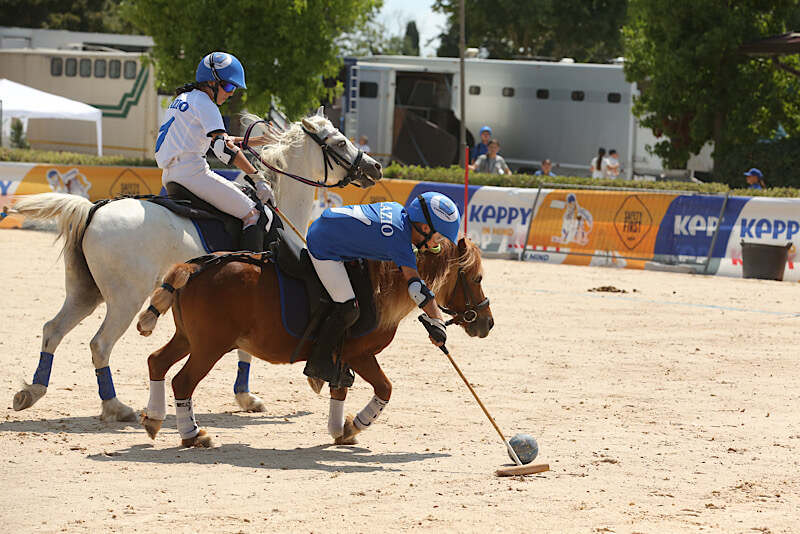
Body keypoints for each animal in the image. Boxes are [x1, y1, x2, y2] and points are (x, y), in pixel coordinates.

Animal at [8, 108, 384, 422]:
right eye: (340, 141)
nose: (375, 167)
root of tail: (92, 209)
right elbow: (246, 352)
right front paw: (247, 397)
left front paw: (247, 397)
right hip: (125, 298)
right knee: (100, 345)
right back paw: (115, 407)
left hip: (85, 293)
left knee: (52, 330)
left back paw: (31, 392)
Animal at [138, 239, 490, 448]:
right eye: (476, 279)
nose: (487, 322)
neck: (381, 282)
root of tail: (195, 265)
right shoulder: (359, 354)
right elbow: (384, 388)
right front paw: (354, 425)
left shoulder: (340, 356)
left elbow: (339, 390)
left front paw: (340, 429)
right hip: (210, 346)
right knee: (182, 382)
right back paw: (192, 434)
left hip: (189, 339)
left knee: (156, 361)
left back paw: (154, 418)